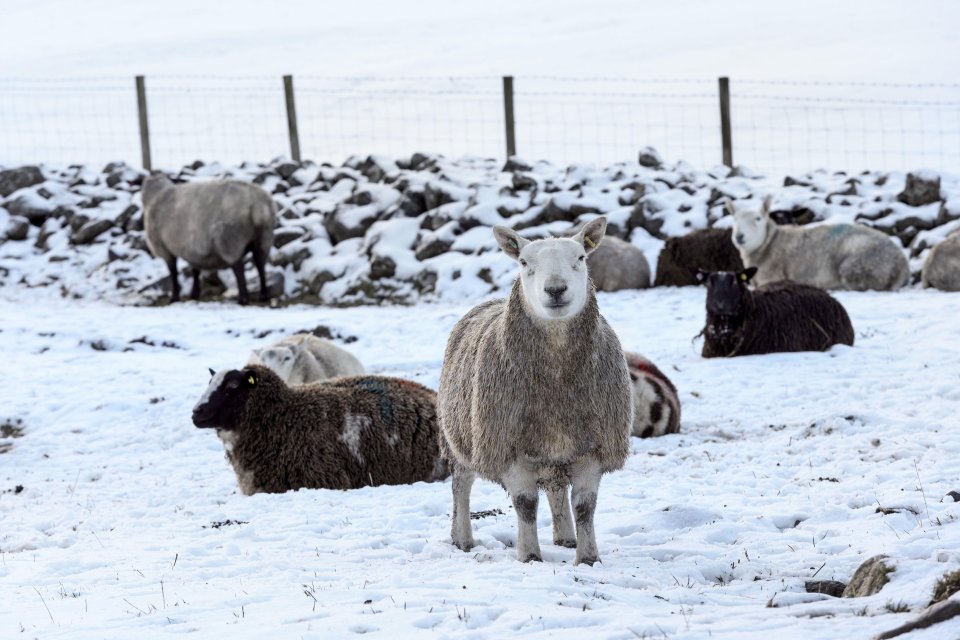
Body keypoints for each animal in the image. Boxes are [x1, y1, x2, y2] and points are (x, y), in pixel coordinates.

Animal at [142, 174, 278, 306]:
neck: (156, 195)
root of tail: (257, 204)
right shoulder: (192, 249)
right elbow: (195, 270)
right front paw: (194, 294)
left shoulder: (164, 248)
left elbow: (173, 273)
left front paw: (174, 298)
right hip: (264, 238)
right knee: (260, 264)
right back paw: (263, 295)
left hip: (230, 239)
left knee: (238, 267)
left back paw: (243, 299)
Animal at [438, 216, 632, 564]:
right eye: (524, 262)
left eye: (581, 257)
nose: (555, 290)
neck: (556, 381)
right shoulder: (508, 445)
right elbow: (526, 505)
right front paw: (529, 556)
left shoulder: (593, 445)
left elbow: (585, 507)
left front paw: (588, 558)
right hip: (460, 437)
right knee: (461, 486)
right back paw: (462, 539)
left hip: (554, 448)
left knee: (556, 489)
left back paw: (565, 537)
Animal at [728, 196, 908, 292]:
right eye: (734, 219)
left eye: (758, 219)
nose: (739, 236)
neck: (768, 243)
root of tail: (902, 265)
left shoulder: (772, 275)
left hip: (861, 264)